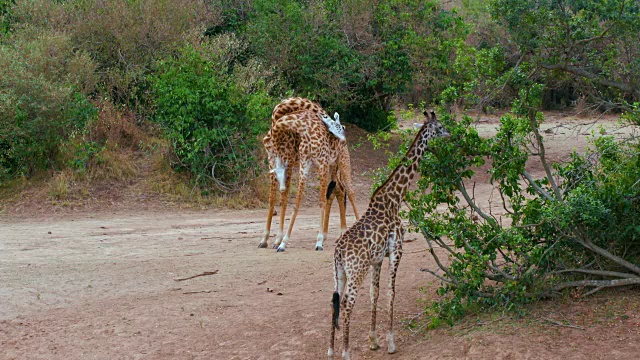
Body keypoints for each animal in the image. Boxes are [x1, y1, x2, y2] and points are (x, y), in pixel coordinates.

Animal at [260, 97, 360, 252]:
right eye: (339, 127)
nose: (343, 138)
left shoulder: (288, 163)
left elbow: (284, 199)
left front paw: (277, 240)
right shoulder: (274, 163)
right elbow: (273, 200)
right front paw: (266, 239)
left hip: (341, 163)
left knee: (349, 192)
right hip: (332, 166)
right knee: (337, 190)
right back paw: (336, 235)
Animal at [328, 111, 448, 358]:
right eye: (440, 126)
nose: (449, 134)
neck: (394, 199)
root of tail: (338, 252)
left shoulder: (377, 260)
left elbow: (374, 293)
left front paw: (373, 341)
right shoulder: (396, 250)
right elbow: (391, 292)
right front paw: (391, 343)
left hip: (339, 273)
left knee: (333, 302)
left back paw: (331, 350)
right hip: (356, 271)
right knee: (346, 304)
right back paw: (346, 353)